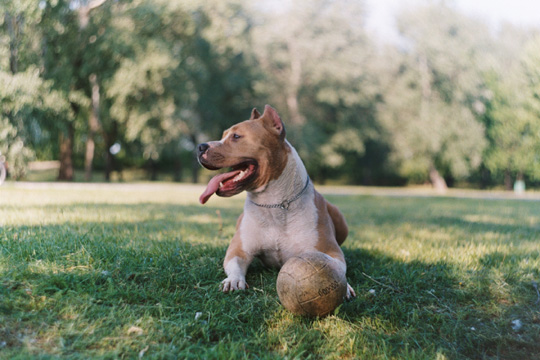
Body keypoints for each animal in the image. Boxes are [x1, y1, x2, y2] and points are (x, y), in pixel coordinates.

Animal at [196, 105, 356, 300]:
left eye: (236, 136)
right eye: (223, 135)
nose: (200, 146)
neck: (273, 203)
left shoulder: (329, 250)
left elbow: (336, 264)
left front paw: (345, 286)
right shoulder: (239, 250)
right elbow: (234, 264)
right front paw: (233, 280)